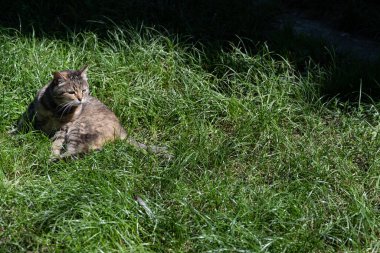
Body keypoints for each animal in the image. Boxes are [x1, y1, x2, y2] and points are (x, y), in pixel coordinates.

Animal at [17, 65, 170, 160]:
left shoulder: (64, 128)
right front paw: (14, 136)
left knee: (78, 152)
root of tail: (122, 130)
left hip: (79, 130)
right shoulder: (31, 114)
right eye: (71, 92)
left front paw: (52, 153)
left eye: (83, 90)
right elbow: (21, 126)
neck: (57, 109)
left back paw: (53, 160)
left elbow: (56, 143)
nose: (80, 99)